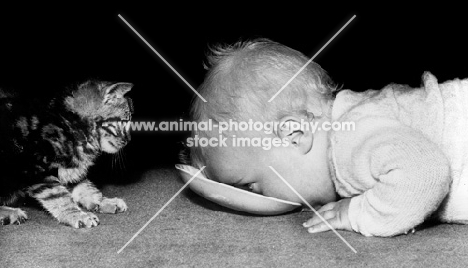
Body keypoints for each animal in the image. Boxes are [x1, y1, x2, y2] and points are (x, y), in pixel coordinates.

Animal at [1, 80, 133, 228]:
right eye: (124, 121)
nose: (128, 140)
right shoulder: (38, 170)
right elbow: (58, 196)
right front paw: (77, 214)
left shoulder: (73, 166)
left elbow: (85, 187)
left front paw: (103, 201)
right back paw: (10, 213)